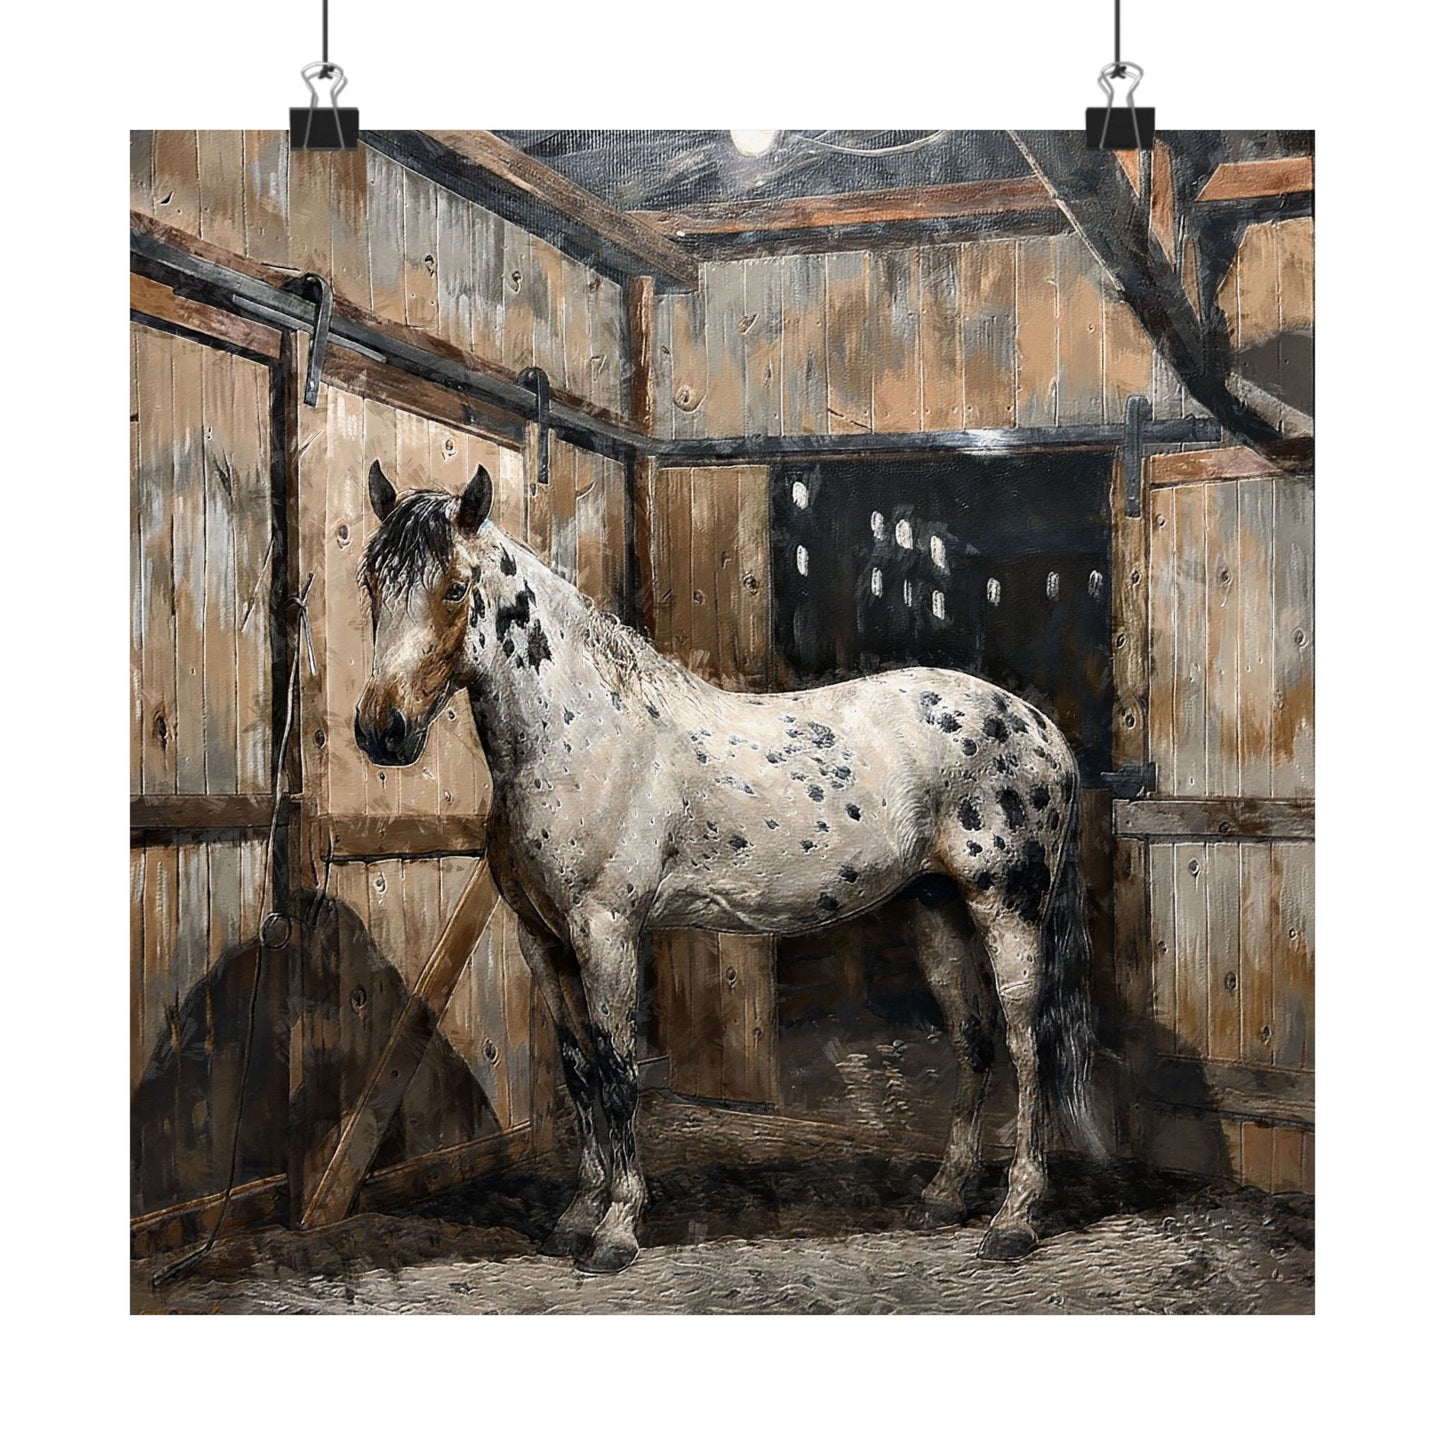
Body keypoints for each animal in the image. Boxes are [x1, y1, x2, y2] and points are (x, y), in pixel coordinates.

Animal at [353, 459, 1098, 1274]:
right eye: (370, 580)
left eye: (455, 587)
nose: (381, 730)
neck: (583, 733)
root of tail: (1040, 727)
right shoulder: (540, 939)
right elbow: (578, 1070)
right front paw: (577, 1214)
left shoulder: (605, 928)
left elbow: (616, 1068)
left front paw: (616, 1228)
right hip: (932, 904)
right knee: (973, 1038)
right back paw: (943, 1196)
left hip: (1006, 907)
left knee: (1029, 1045)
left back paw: (1014, 1220)